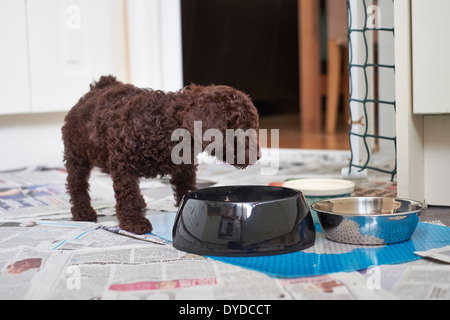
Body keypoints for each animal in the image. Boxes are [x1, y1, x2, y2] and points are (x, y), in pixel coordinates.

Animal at [62, 75, 260, 235]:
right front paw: (133, 222)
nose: (259, 156)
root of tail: (98, 88)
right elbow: (127, 193)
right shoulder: (122, 163)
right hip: (76, 153)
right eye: (242, 130)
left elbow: (185, 189)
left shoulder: (184, 168)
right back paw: (82, 211)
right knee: (76, 183)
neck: (168, 124)